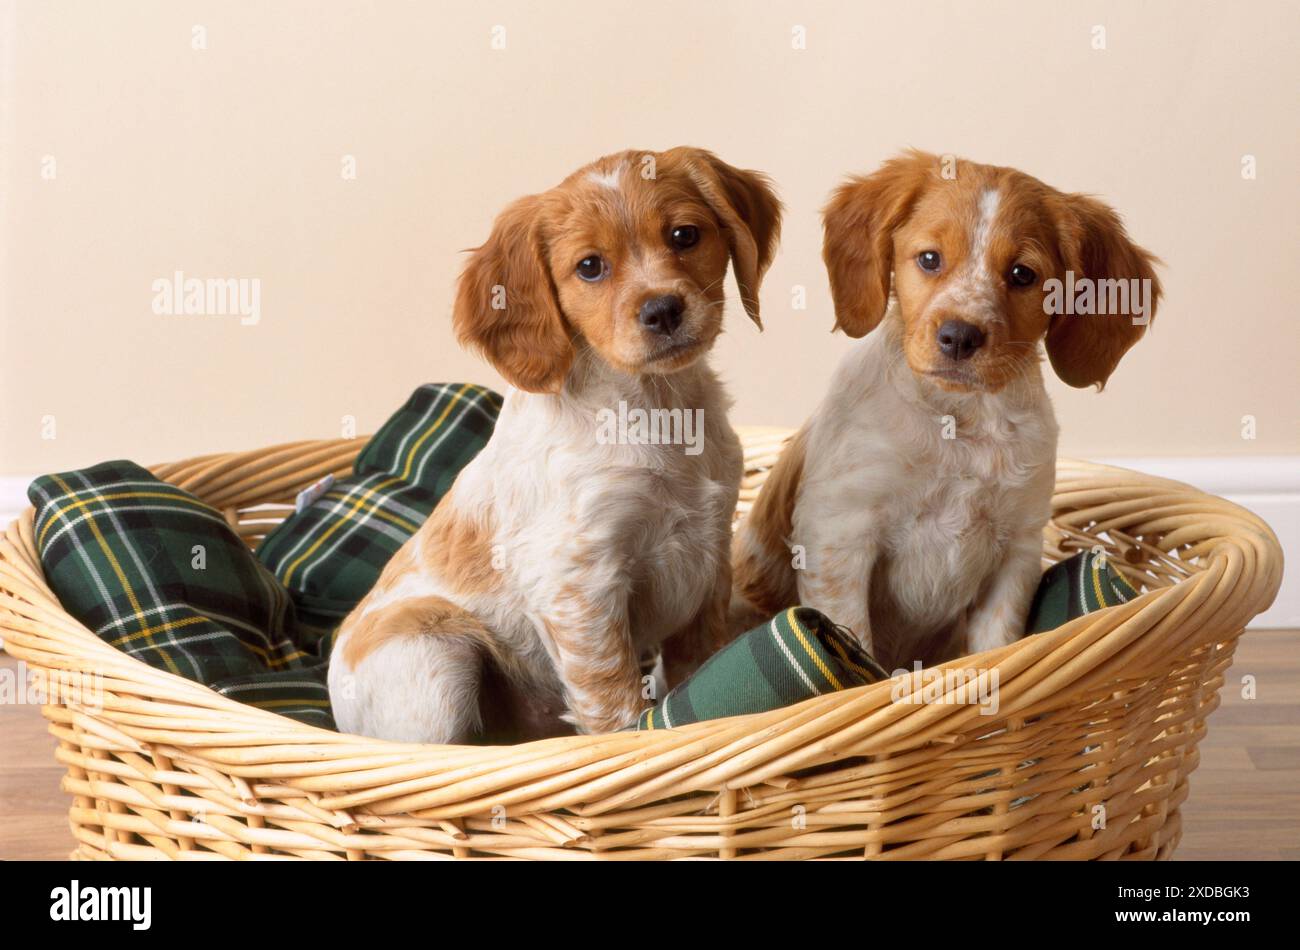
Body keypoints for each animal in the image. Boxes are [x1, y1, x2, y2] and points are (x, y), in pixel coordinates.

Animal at [330, 148, 785, 743]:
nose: (663, 309)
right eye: (589, 267)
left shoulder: (709, 558)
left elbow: (698, 672)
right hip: (435, 651)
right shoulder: (579, 583)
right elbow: (614, 702)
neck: (656, 409)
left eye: (685, 235)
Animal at [733, 150, 1159, 670]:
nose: (959, 336)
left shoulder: (1017, 548)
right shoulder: (840, 533)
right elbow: (858, 651)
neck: (960, 422)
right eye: (930, 259)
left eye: (1023, 274)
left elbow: (998, 647)